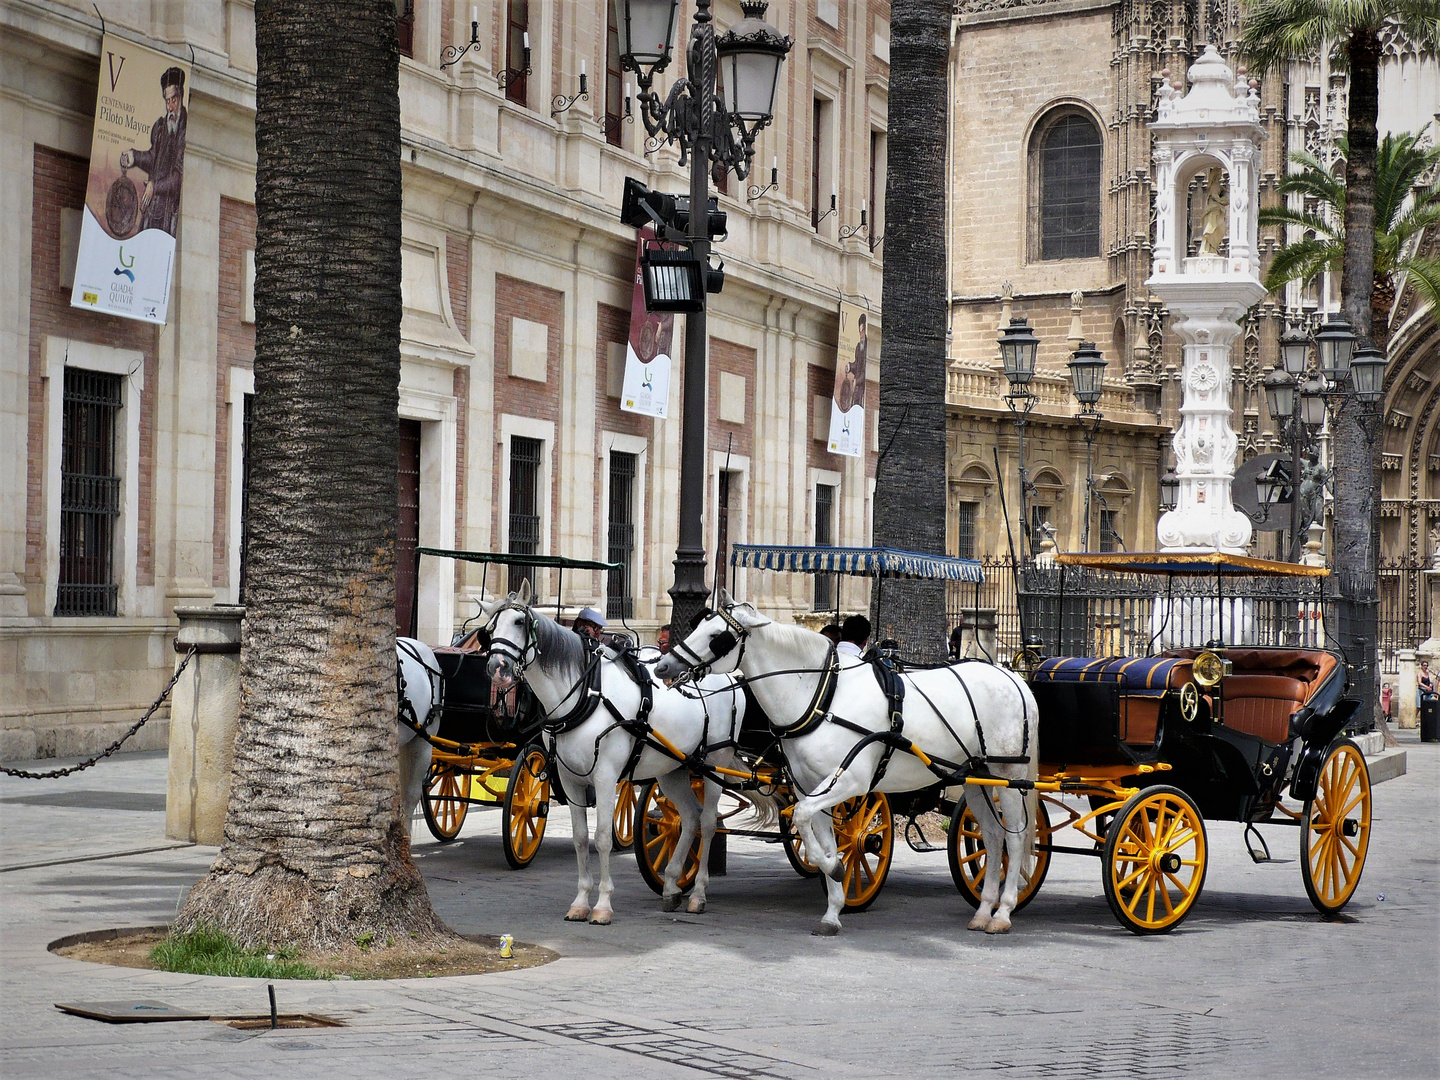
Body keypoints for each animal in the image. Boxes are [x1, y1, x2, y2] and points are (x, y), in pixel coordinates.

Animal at [483, 596, 777, 927]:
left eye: (519, 622)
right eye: (490, 628)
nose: (497, 667)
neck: (587, 693)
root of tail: (730, 675)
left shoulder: (605, 777)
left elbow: (602, 839)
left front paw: (602, 906)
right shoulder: (569, 779)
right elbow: (580, 839)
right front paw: (580, 902)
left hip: (715, 760)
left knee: (708, 822)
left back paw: (698, 894)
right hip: (673, 768)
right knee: (689, 817)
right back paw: (671, 886)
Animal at [659, 596, 1042, 933]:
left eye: (716, 636)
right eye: (697, 626)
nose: (663, 665)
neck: (823, 696)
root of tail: (1013, 678)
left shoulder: (851, 782)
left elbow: (808, 821)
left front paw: (834, 868)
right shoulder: (810, 788)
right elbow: (819, 833)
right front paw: (833, 906)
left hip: (1008, 775)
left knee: (1016, 837)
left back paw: (1003, 912)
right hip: (976, 777)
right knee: (992, 836)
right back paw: (983, 910)